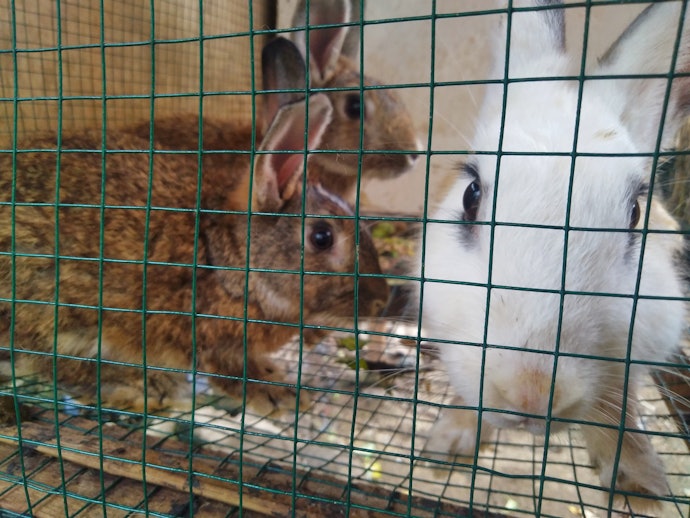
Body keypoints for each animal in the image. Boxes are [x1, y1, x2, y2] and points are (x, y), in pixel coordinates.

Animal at [0, 93, 390, 416]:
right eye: (322, 237)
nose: (379, 303)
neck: (229, 263)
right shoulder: (206, 340)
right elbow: (232, 373)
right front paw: (278, 396)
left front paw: (273, 373)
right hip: (52, 305)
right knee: (50, 362)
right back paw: (147, 385)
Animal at [418, 0, 689, 507]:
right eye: (471, 195)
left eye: (635, 214)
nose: (531, 393)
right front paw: (448, 441)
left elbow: (620, 407)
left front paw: (639, 482)